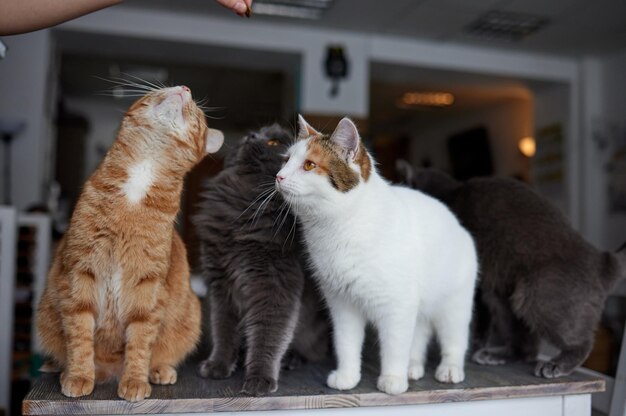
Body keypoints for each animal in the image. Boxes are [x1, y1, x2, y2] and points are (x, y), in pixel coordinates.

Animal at [35, 85, 223, 404]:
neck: (142, 174)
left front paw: (135, 380)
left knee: (159, 353)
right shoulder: (81, 271)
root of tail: (109, 368)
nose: (184, 88)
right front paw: (80, 375)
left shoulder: (148, 284)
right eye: (163, 88)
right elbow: (79, 333)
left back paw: (159, 371)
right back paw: (61, 367)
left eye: (197, 113)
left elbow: (140, 340)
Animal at [193, 124, 330, 396]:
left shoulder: (275, 286)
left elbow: (268, 335)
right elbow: (223, 329)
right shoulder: (220, 284)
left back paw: (292, 359)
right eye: (252, 135)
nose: (251, 137)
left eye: (274, 142)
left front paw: (259, 379)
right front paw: (219, 365)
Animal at [276, 115, 476, 394]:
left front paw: (392, 379)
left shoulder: (396, 305)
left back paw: (448, 369)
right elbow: (346, 344)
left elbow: (394, 347)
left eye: (309, 165)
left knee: (454, 340)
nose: (279, 176)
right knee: (419, 334)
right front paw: (348, 376)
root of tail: (457, 223)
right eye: (286, 160)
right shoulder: (342, 305)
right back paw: (413, 367)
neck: (338, 227)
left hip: (453, 306)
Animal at [394, 161, 624, 378]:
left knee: (581, 342)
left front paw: (472, 346)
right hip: (505, 296)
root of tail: (603, 260)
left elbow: (476, 322)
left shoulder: (474, 288)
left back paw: (555, 364)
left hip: (536, 297)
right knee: (526, 348)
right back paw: (494, 355)